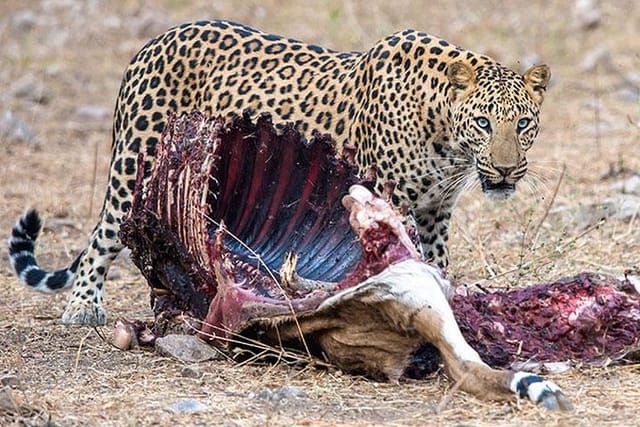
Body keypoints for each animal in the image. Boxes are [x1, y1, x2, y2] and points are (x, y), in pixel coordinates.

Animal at [8, 19, 552, 328]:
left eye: (523, 124)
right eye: (484, 123)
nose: (506, 169)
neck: (447, 138)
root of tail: (154, 41)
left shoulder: (437, 209)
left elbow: (437, 262)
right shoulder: (393, 200)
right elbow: (409, 261)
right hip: (133, 161)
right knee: (104, 235)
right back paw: (82, 308)